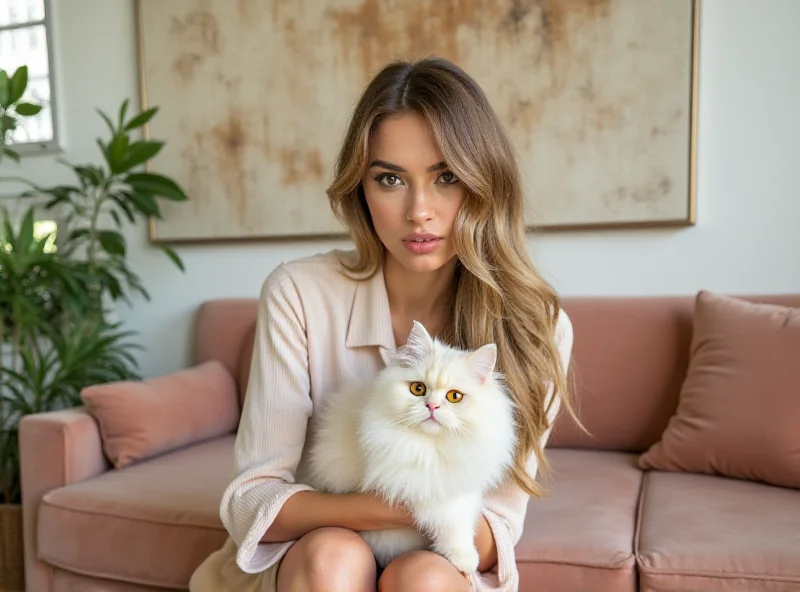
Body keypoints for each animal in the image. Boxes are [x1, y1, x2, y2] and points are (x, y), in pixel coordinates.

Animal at [306, 320, 520, 572]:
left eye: (454, 397)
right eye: (418, 389)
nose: (432, 406)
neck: (432, 447)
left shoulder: (460, 486)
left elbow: (460, 518)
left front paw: (464, 558)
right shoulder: (416, 483)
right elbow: (449, 519)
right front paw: (464, 559)